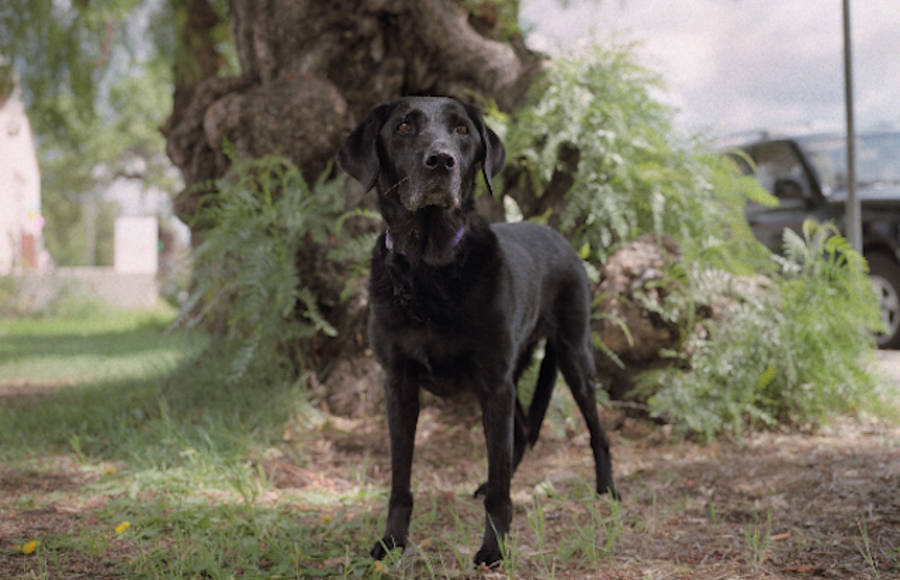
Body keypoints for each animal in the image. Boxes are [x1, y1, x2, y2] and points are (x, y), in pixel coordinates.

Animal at [338, 95, 620, 568]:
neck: (429, 267)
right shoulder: (399, 384)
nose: (441, 161)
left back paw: (607, 491)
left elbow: (501, 486)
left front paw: (493, 547)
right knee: (519, 433)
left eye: (462, 131)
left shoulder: (493, 383)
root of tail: (556, 235)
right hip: (510, 376)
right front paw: (392, 541)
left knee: (594, 431)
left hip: (573, 357)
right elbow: (400, 478)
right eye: (403, 126)